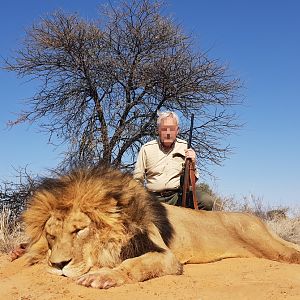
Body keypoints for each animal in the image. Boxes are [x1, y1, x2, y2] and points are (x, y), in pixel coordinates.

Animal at [22, 166, 300, 288]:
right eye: (50, 235)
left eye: (79, 230)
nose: (59, 265)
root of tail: (257, 219)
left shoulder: (166, 256)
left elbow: (134, 264)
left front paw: (103, 276)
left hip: (267, 244)